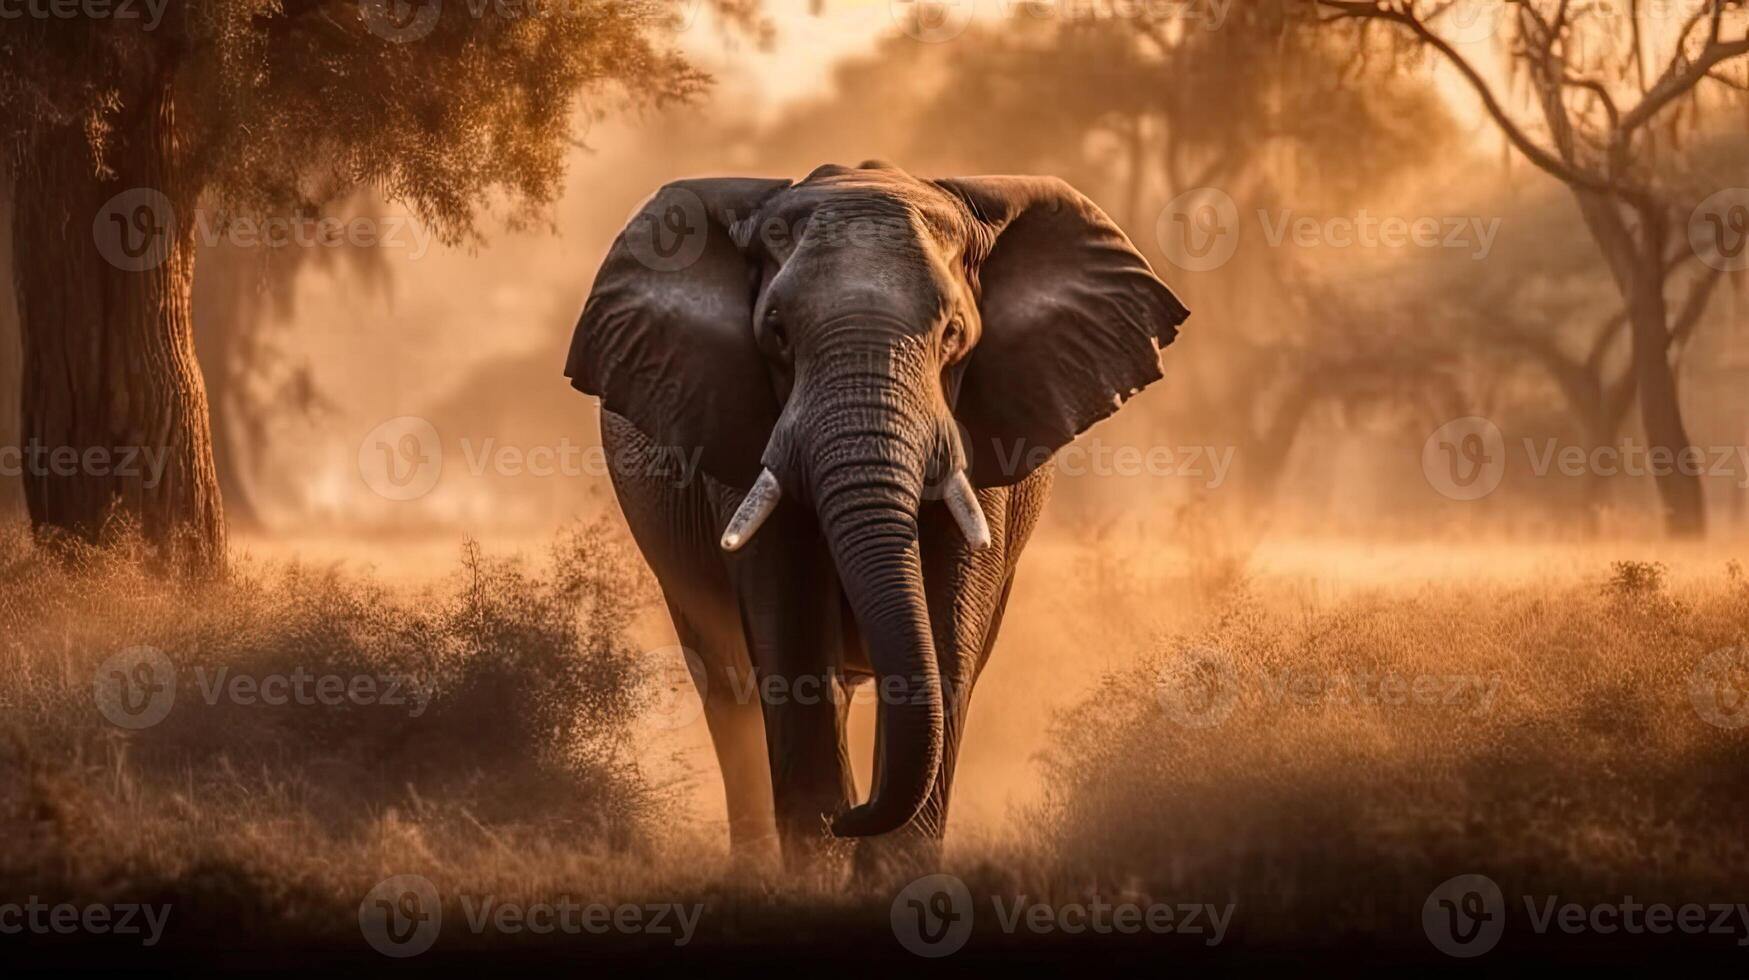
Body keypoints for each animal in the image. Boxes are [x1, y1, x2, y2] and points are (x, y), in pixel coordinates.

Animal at [563, 161, 1189, 871]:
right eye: (776, 334)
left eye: (954, 336)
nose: (851, 818)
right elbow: (789, 634)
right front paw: (817, 865)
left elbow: (944, 639)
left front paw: (891, 874)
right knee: (730, 691)